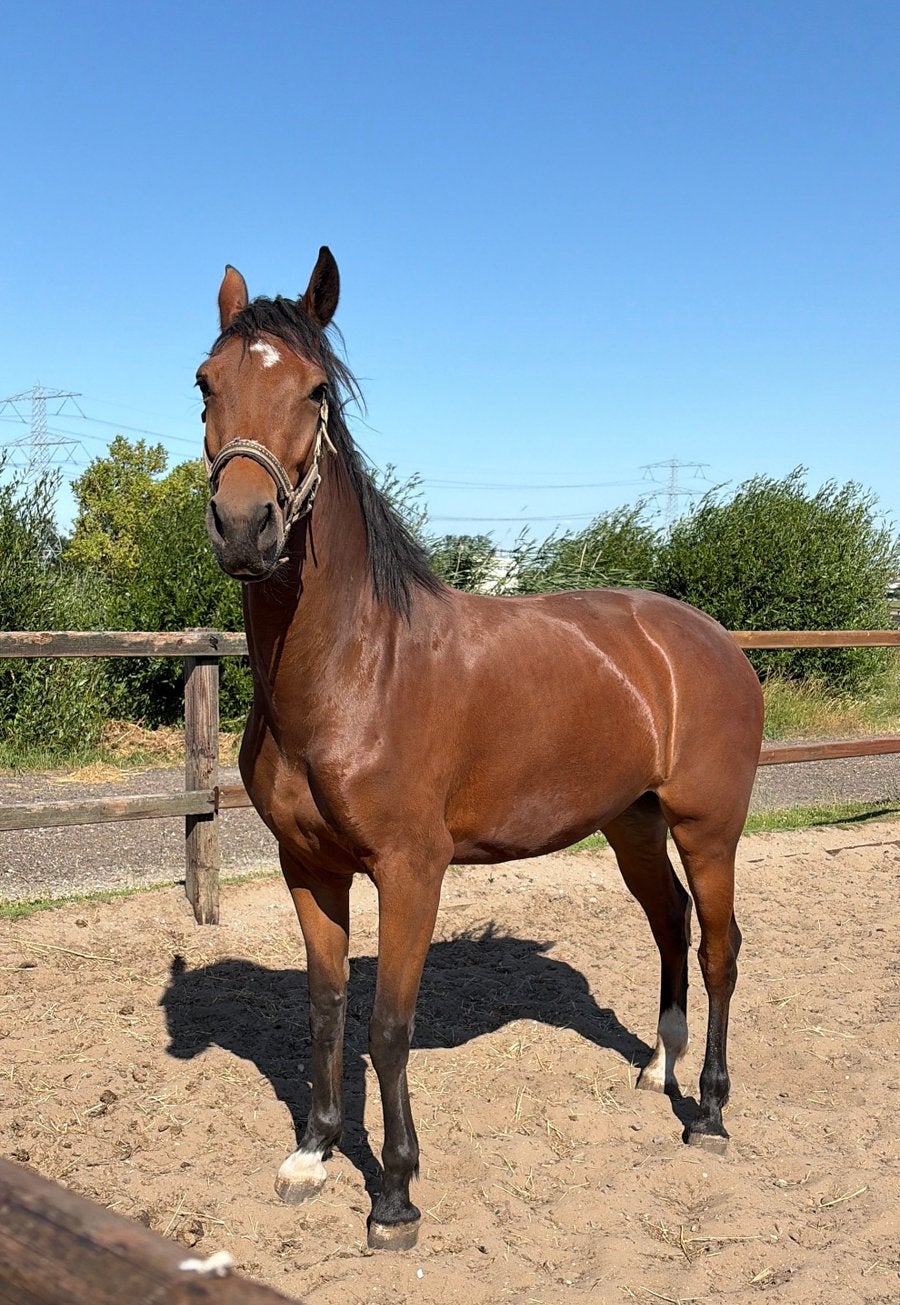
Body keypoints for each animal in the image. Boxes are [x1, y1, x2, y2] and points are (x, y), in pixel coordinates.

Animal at [197, 247, 764, 1251]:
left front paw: (394, 1194)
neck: (353, 666)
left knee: (719, 949)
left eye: (315, 390)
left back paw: (708, 1110)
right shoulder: (310, 867)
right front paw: (313, 1153)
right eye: (205, 383)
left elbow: (387, 1026)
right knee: (669, 924)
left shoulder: (411, 869)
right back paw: (658, 1071)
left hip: (709, 829)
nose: (244, 526)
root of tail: (712, 640)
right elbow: (324, 1009)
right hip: (632, 824)